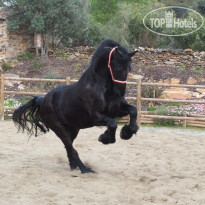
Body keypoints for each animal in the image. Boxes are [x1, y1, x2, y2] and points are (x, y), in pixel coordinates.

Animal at [12, 38, 139, 173]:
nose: (120, 93)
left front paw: (127, 132)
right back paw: (85, 169)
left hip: (73, 129)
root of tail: (43, 100)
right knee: (71, 149)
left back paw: (74, 166)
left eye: (129, 68)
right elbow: (113, 123)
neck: (101, 88)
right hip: (60, 129)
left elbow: (133, 111)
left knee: (68, 148)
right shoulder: (97, 117)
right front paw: (105, 138)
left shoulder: (117, 110)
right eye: (119, 66)